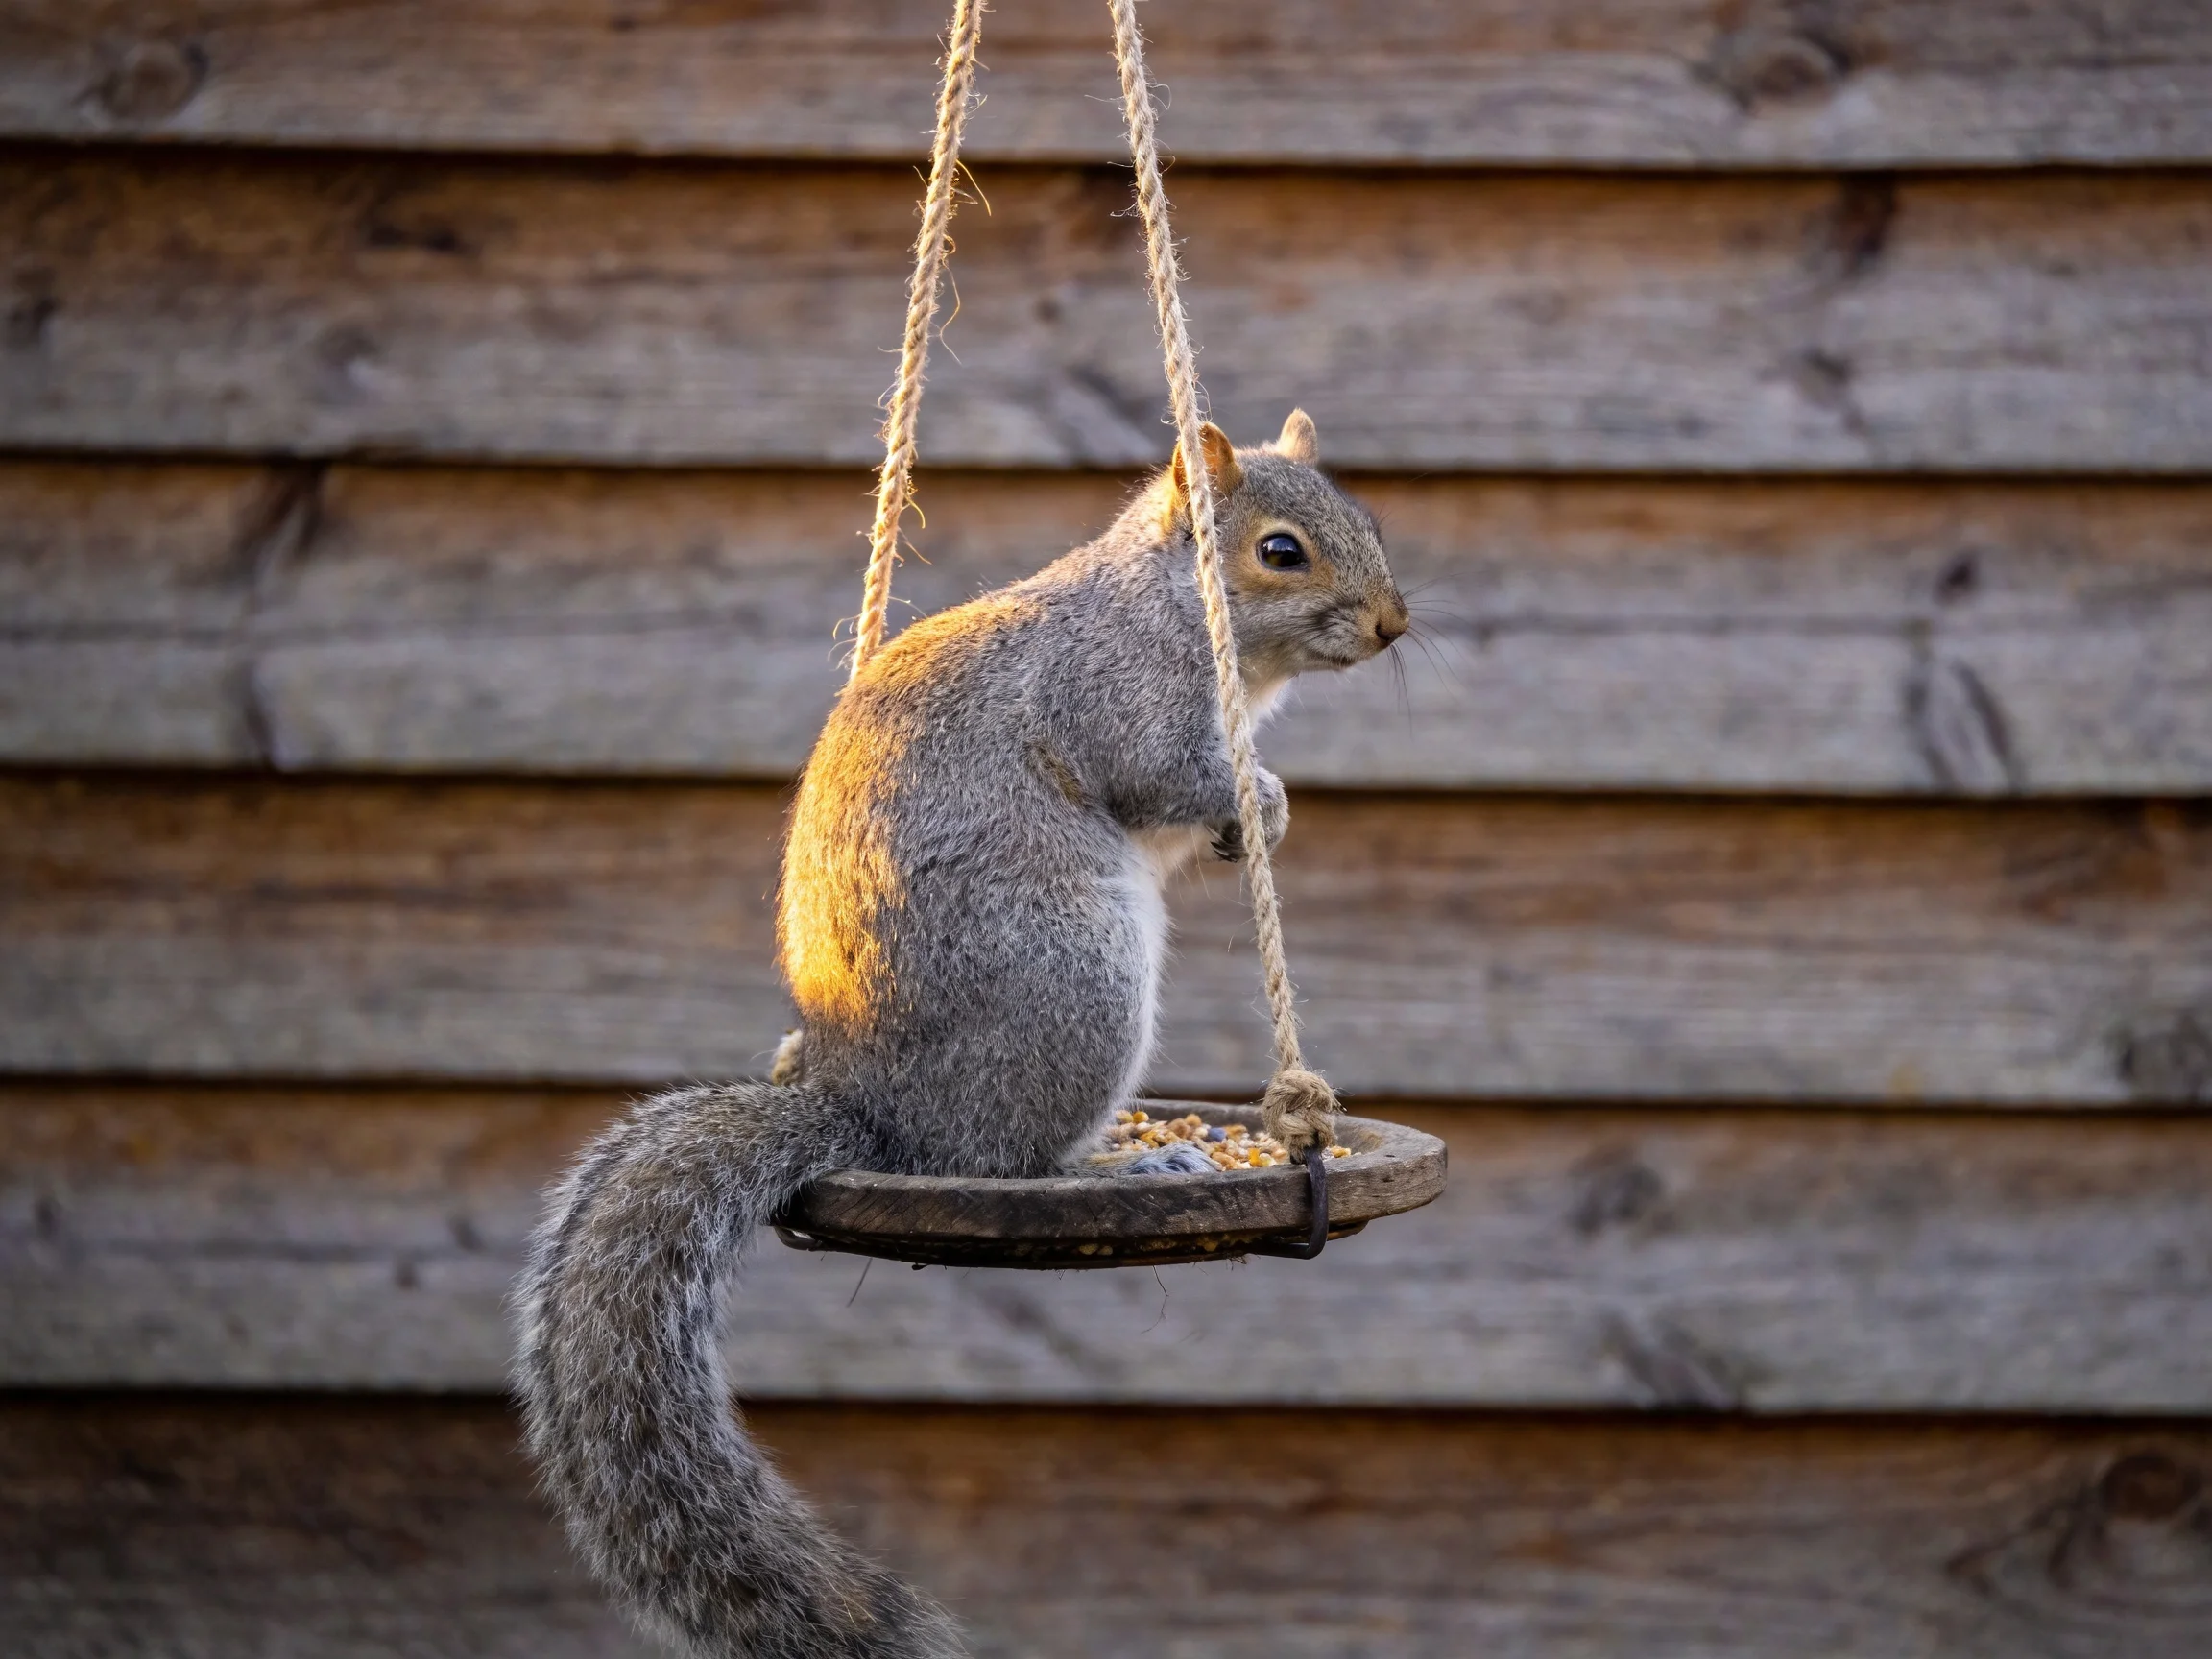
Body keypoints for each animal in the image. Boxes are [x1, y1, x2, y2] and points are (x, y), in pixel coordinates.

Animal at [515, 410, 1408, 1659]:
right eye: (1282, 553)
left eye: (1367, 520)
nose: (1392, 624)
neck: (1189, 616)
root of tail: (870, 1112)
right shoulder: (1121, 692)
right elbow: (1155, 772)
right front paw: (1263, 799)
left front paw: (1256, 821)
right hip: (1075, 983)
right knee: (1004, 1159)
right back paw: (1126, 1163)